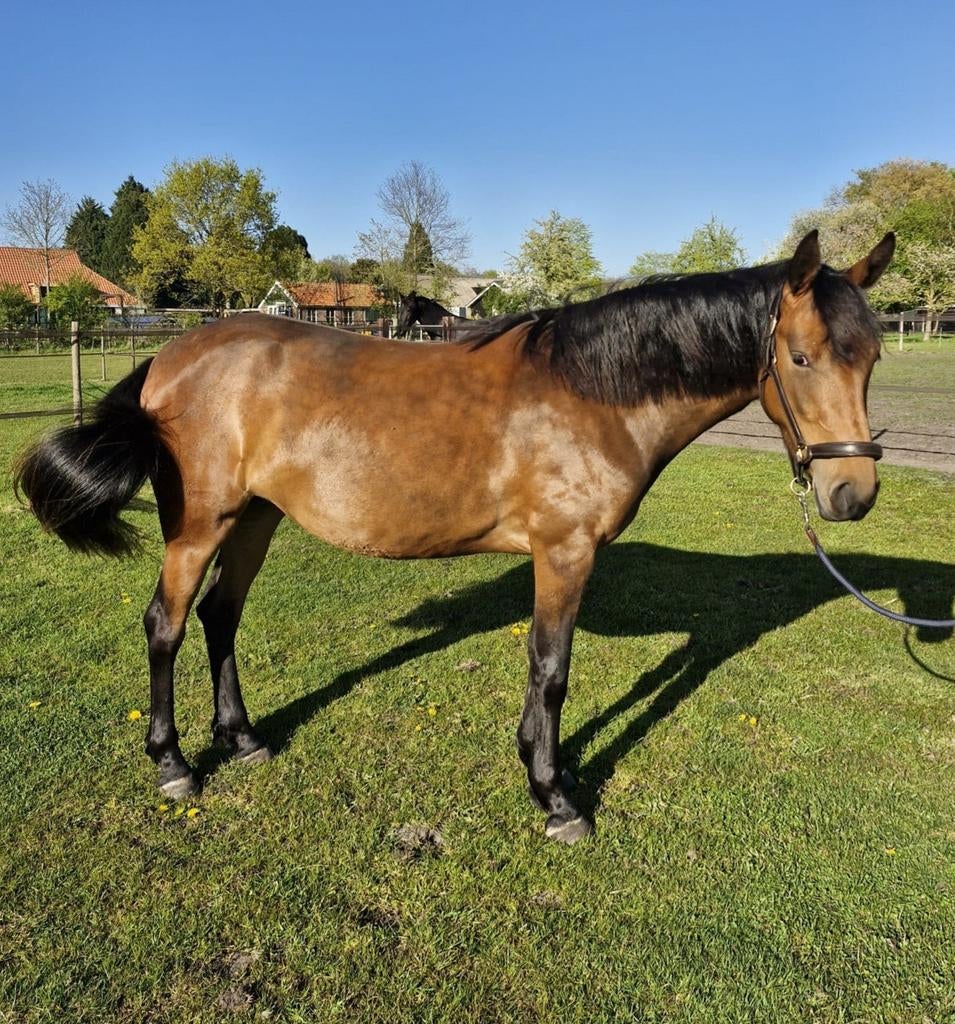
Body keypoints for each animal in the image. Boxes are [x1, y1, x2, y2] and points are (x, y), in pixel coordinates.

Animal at [15, 230, 895, 843]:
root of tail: (170, 355)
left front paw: (538, 769)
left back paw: (242, 741)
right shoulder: (563, 553)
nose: (850, 494)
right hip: (198, 527)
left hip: (255, 519)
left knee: (219, 618)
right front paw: (554, 796)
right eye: (799, 356)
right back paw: (172, 765)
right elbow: (551, 671)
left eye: (873, 356)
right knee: (165, 625)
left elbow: (543, 668)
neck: (594, 393)